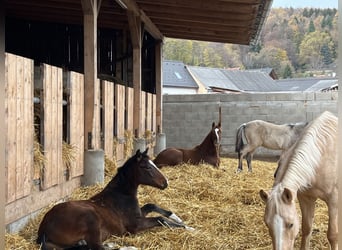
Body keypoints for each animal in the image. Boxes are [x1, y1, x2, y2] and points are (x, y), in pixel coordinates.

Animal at [38, 148, 192, 250]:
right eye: (147, 167)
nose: (166, 183)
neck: (121, 194)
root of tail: (44, 227)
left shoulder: (139, 215)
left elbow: (151, 205)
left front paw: (178, 219)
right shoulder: (134, 225)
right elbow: (160, 219)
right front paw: (188, 228)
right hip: (91, 219)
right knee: (97, 247)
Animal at [260, 111, 338, 250]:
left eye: (290, 224)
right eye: (267, 223)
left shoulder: (333, 200)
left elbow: (333, 235)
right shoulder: (305, 198)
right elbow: (306, 228)